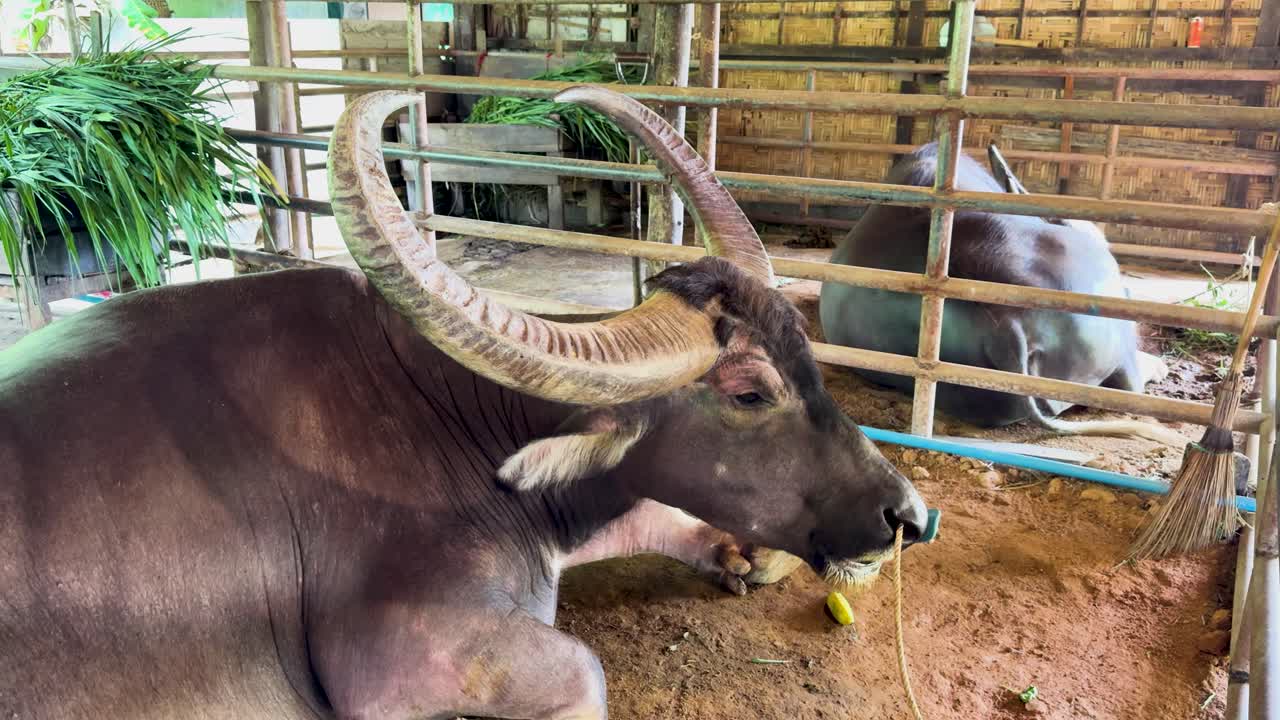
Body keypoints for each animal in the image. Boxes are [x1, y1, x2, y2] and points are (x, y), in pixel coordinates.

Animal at [0, 88, 926, 720]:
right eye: (749, 391)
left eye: (809, 356)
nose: (906, 517)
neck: (442, 419)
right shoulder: (393, 668)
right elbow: (584, 668)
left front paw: (747, 554)